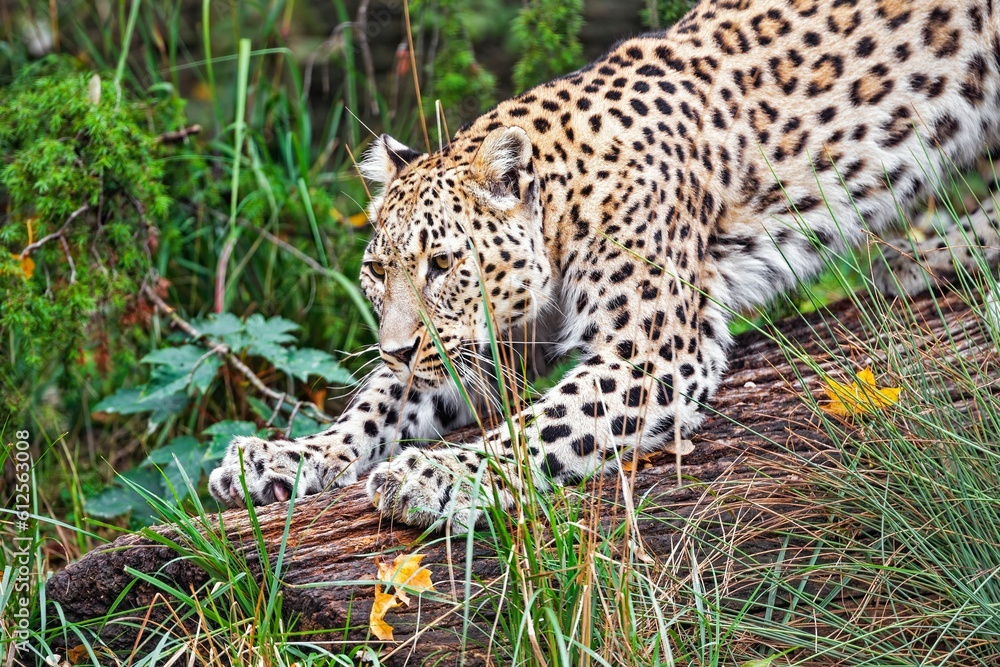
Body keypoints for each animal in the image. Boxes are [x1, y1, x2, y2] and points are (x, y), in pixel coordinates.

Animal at [210, 0, 1000, 531]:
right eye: (378, 270)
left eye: (441, 263)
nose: (397, 347)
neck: (561, 210)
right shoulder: (480, 353)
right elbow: (377, 405)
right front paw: (282, 457)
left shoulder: (654, 353)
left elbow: (540, 426)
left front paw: (433, 475)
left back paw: (916, 258)